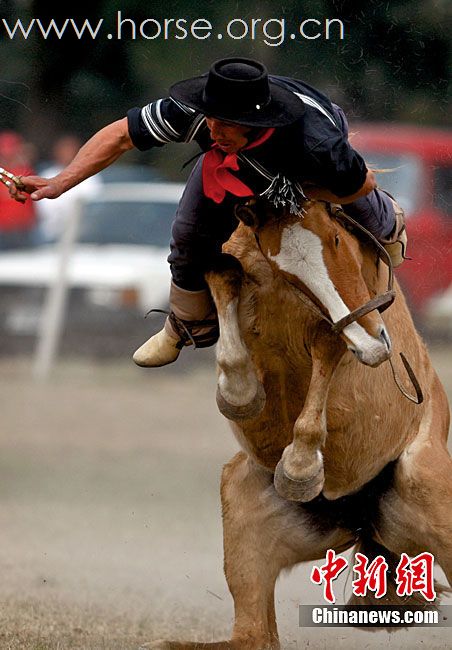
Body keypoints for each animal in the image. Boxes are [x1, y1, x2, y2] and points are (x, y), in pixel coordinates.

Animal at [149, 197, 452, 648]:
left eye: (337, 238)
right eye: (285, 264)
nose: (375, 344)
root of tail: (361, 519)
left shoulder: (345, 318)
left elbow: (328, 341)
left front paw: (300, 466)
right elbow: (221, 274)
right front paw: (240, 393)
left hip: (427, 486)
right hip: (245, 506)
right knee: (254, 637)